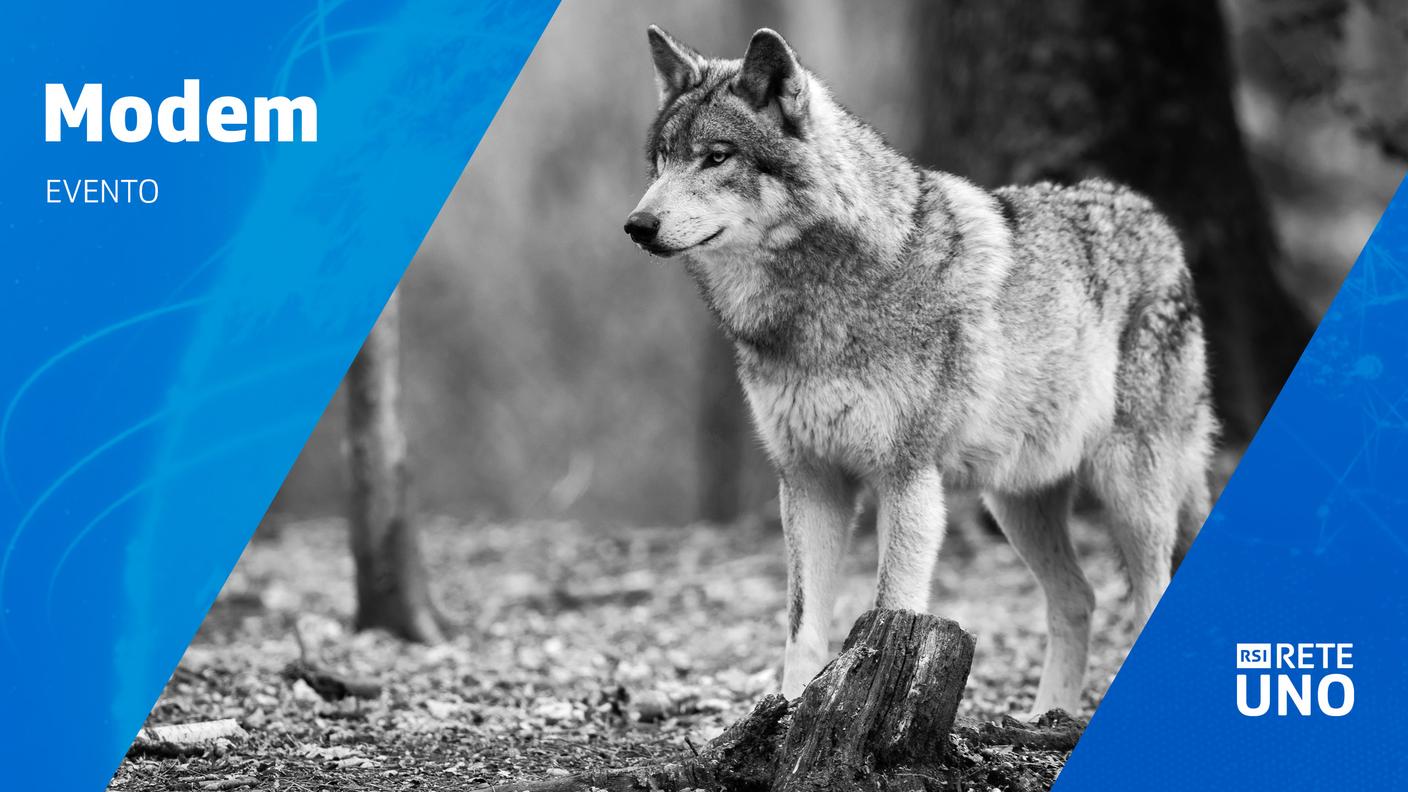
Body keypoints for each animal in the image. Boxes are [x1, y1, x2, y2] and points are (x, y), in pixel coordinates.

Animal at [625, 26, 1215, 716]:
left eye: (716, 157)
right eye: (662, 161)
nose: (637, 225)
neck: (814, 309)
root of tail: (1156, 218)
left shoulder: (906, 479)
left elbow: (888, 609)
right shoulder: (809, 480)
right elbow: (802, 626)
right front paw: (789, 712)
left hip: (1130, 490)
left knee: (1148, 596)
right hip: (1017, 501)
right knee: (1079, 598)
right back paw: (1047, 716)